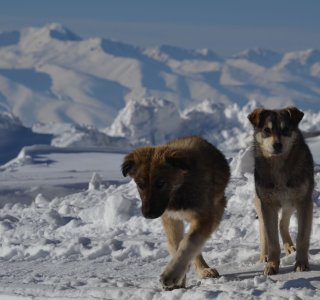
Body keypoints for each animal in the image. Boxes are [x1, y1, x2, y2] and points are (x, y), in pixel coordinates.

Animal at [121, 137, 229, 290]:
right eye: (140, 185)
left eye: (161, 183)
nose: (147, 214)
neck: (180, 190)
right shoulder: (171, 218)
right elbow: (176, 246)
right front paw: (179, 280)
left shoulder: (205, 217)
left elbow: (188, 244)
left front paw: (171, 274)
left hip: (218, 210)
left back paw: (203, 269)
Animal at [249, 106, 314, 276]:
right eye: (267, 130)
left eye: (285, 130)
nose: (277, 145)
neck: (279, 167)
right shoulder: (267, 204)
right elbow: (271, 239)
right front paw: (272, 265)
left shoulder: (304, 202)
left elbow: (302, 237)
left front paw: (301, 263)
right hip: (262, 202)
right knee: (264, 229)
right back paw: (264, 256)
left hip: (290, 205)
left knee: (282, 223)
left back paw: (290, 247)